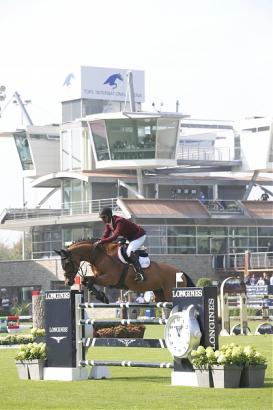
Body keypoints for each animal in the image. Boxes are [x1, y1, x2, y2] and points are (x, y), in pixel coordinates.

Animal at [55, 239, 194, 302]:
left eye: (67, 263)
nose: (68, 282)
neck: (99, 256)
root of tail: (181, 273)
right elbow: (86, 281)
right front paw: (100, 296)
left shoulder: (109, 279)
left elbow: (88, 280)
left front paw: (101, 296)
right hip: (160, 294)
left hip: (170, 294)